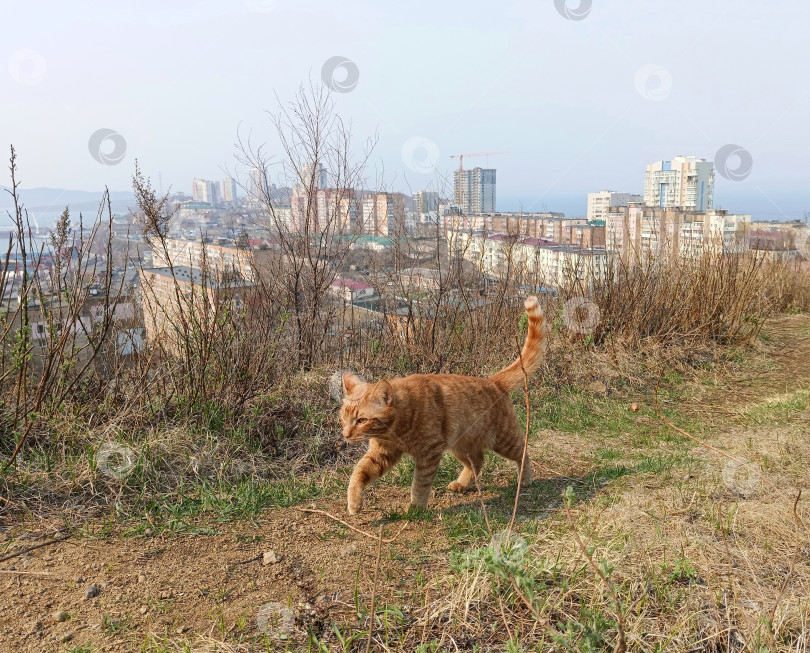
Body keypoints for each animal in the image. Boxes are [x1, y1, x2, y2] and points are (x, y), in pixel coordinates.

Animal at [338, 296, 548, 516]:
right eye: (343, 419)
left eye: (361, 420)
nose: (345, 434)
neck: (396, 429)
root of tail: (494, 381)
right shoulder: (381, 454)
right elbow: (358, 473)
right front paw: (354, 503)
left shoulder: (429, 454)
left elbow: (420, 484)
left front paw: (416, 508)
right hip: (460, 446)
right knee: (478, 460)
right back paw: (462, 484)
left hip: (503, 441)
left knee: (522, 453)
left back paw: (525, 480)